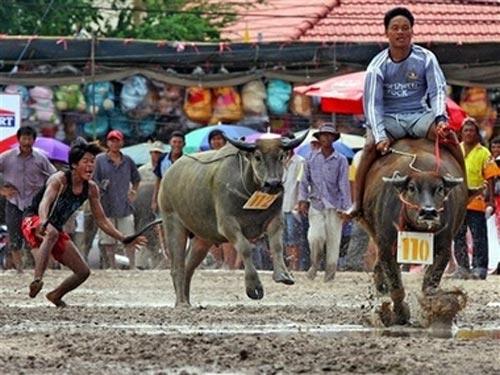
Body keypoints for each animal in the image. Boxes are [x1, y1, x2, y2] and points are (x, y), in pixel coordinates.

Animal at [158, 134, 306, 306]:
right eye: (257, 157)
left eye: (281, 156)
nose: (273, 184)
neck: (249, 188)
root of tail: (167, 176)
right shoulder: (227, 224)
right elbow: (245, 248)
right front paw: (254, 287)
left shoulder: (276, 219)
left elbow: (277, 246)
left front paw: (283, 275)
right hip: (173, 224)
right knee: (177, 267)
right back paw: (181, 303)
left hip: (202, 238)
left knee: (189, 266)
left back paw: (187, 301)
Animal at [362, 138, 466, 326]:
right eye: (411, 187)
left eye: (440, 188)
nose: (428, 212)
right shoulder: (386, 247)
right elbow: (396, 286)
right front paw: (399, 313)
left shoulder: (444, 248)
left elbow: (430, 284)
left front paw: (435, 311)